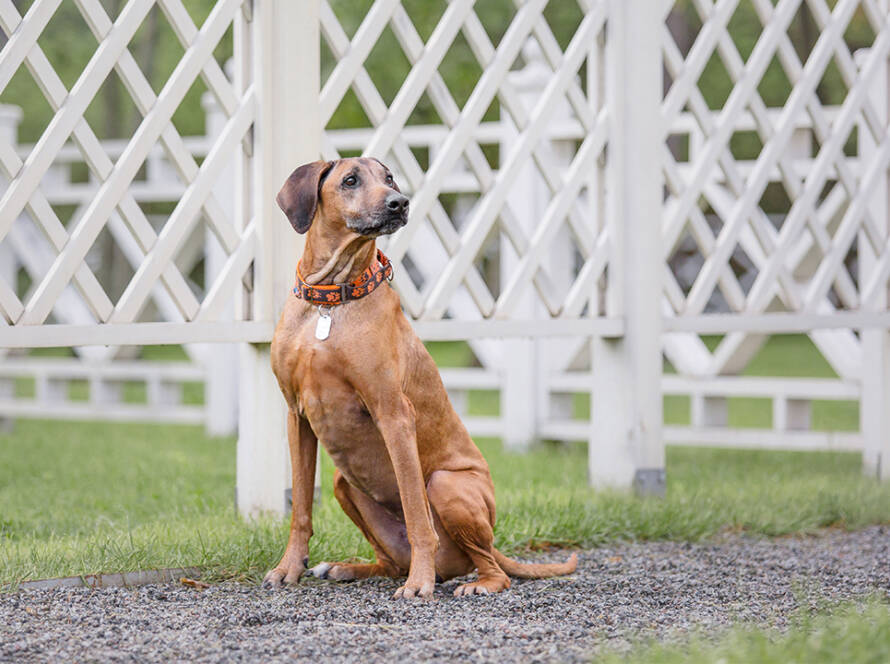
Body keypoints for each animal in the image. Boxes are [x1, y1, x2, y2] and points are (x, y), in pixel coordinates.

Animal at [260, 158, 576, 600]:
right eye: (350, 180)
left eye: (389, 178)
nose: (399, 202)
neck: (331, 302)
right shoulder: (297, 416)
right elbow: (301, 507)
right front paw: (289, 567)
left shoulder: (393, 414)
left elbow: (415, 513)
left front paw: (419, 583)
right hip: (343, 483)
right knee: (391, 561)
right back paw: (348, 567)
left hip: (447, 486)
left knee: (493, 567)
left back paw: (473, 582)